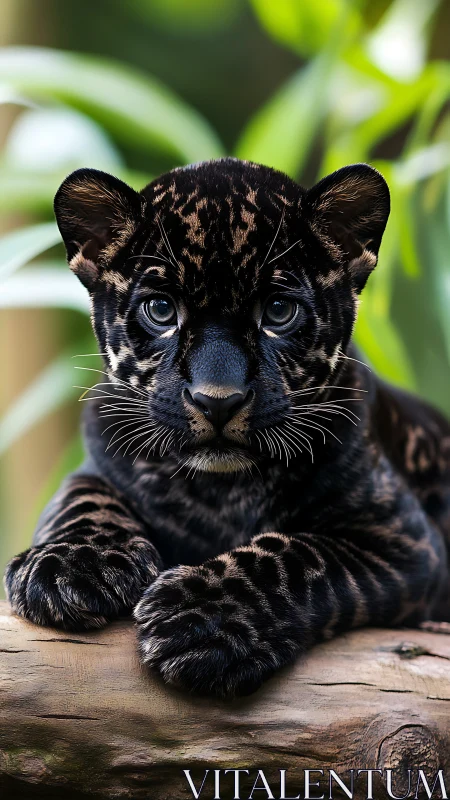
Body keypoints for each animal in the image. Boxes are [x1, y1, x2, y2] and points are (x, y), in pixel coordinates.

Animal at [5, 157, 450, 698]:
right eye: (161, 310)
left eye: (279, 311)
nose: (218, 401)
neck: (223, 490)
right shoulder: (99, 459)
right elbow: (84, 499)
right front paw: (70, 564)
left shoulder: (402, 539)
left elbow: (296, 554)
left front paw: (201, 617)